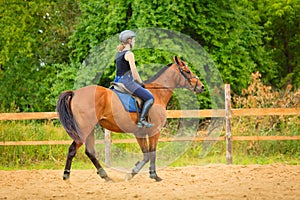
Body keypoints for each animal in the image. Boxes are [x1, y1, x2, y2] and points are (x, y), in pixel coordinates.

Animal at [56, 55, 205, 181]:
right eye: (187, 71)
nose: (201, 87)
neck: (157, 93)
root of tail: (75, 93)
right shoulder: (154, 131)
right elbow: (152, 153)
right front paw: (153, 175)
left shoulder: (139, 132)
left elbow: (146, 155)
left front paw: (133, 172)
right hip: (85, 129)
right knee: (76, 150)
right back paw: (71, 176)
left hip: (89, 129)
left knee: (87, 151)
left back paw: (102, 176)